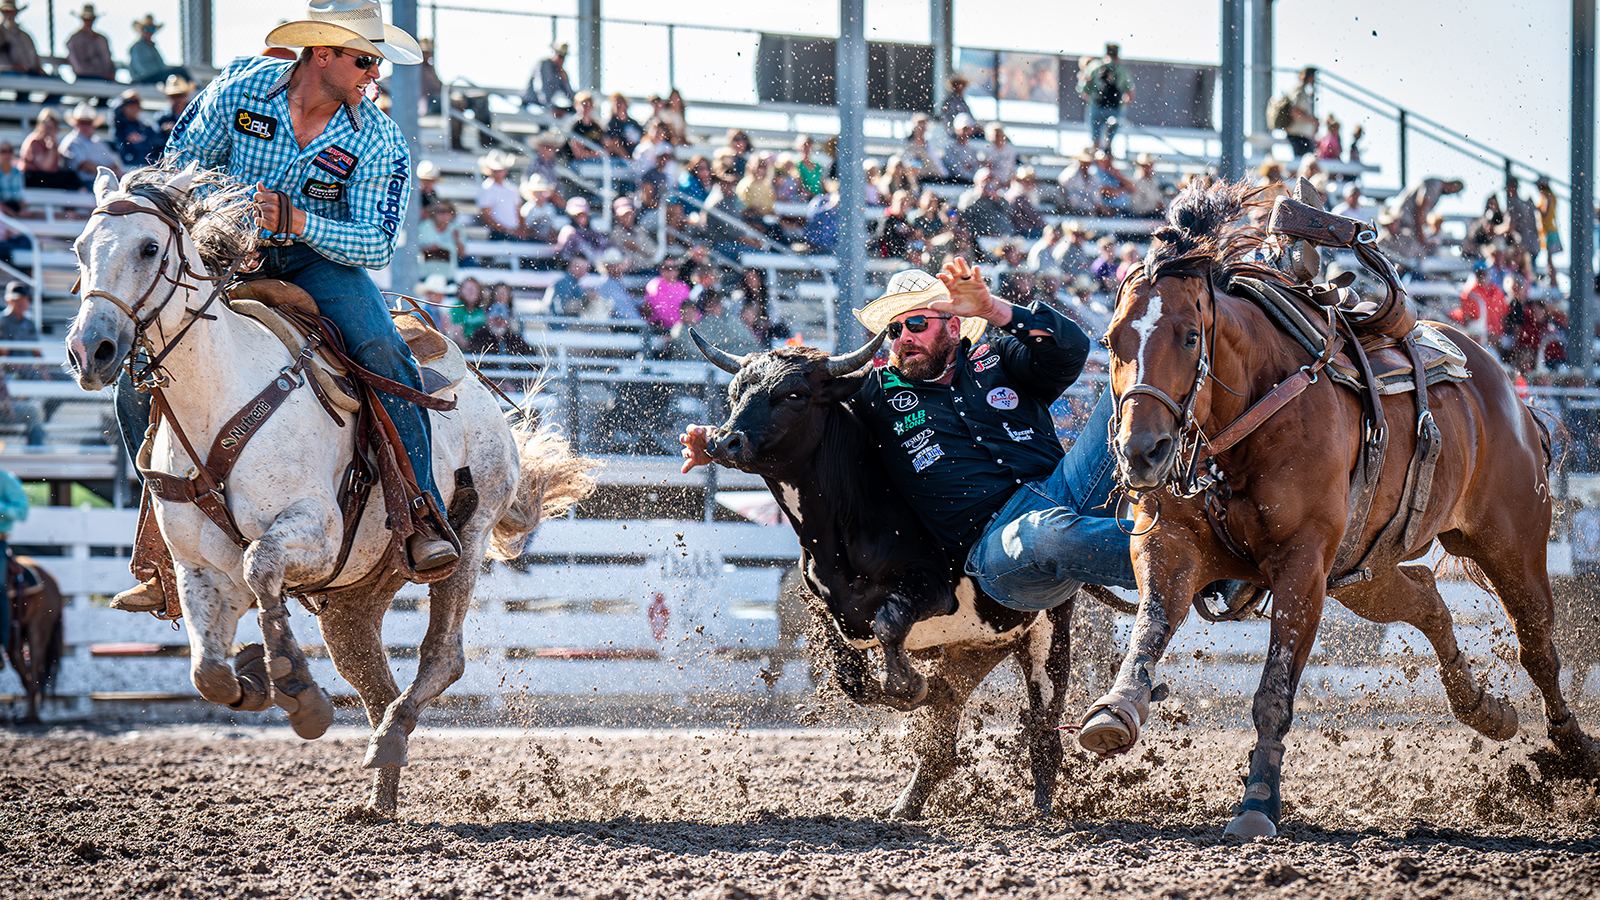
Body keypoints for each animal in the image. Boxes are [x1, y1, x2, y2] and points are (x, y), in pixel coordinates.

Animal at [64, 160, 595, 813]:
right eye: (80, 249)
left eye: (147, 247)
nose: (90, 350)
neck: (219, 397)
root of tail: (472, 381)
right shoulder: (198, 569)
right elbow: (207, 672)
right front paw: (253, 677)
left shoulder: (315, 530)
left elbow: (261, 564)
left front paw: (296, 687)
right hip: (353, 596)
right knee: (372, 678)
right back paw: (381, 785)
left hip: (467, 536)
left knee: (442, 656)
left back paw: (384, 736)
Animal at [1081, 180, 1593, 832]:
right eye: (1110, 339)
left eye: (1191, 337)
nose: (1140, 452)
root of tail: (1508, 391)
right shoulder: (1168, 544)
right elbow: (1147, 628)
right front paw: (1114, 710)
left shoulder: (1302, 567)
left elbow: (1274, 690)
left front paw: (1258, 801)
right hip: (1363, 571)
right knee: (1428, 601)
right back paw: (1485, 709)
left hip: (1511, 546)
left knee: (1537, 647)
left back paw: (1574, 748)